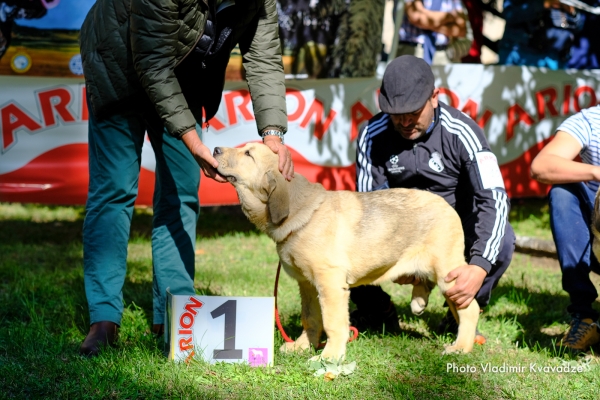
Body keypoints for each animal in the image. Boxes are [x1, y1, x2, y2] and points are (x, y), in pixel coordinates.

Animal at [213, 143, 480, 360]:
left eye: (248, 154)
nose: (215, 149)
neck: (300, 213)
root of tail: (446, 205)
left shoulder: (330, 283)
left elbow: (332, 323)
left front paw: (329, 357)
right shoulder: (307, 285)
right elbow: (311, 318)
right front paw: (302, 346)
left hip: (448, 271)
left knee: (469, 308)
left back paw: (460, 347)